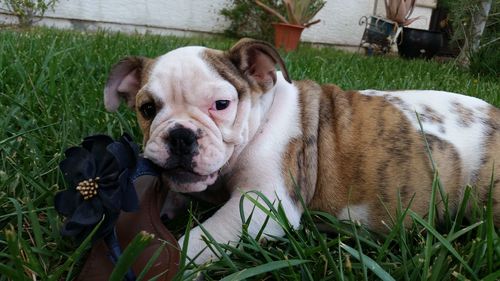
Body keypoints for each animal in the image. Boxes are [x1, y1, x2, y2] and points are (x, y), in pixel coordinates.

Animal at [103, 37, 498, 262]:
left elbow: (197, 241)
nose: (181, 136)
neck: (260, 117)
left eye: (221, 104)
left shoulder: (260, 207)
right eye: (147, 109)